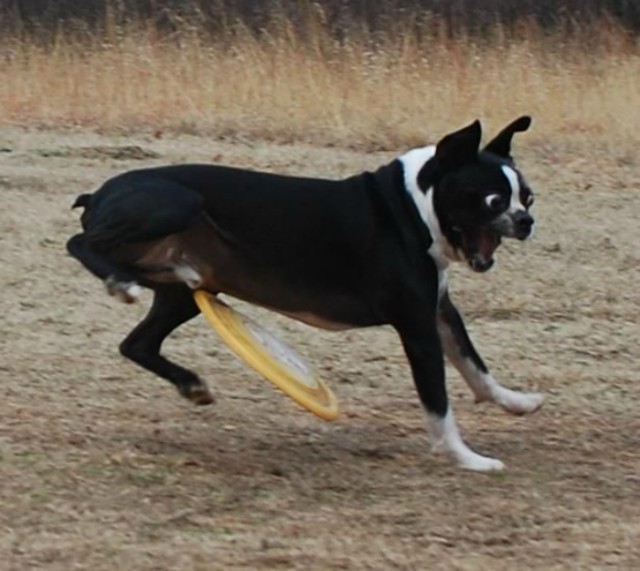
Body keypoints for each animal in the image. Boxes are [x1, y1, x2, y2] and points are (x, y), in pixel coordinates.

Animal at [67, 117, 544, 474]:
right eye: (493, 200)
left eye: (528, 197)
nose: (525, 220)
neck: (413, 206)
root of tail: (100, 193)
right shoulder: (417, 326)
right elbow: (439, 403)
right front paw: (467, 458)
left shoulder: (440, 312)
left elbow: (475, 366)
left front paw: (517, 402)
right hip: (176, 203)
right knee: (80, 243)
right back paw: (119, 283)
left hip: (183, 293)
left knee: (137, 343)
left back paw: (191, 384)